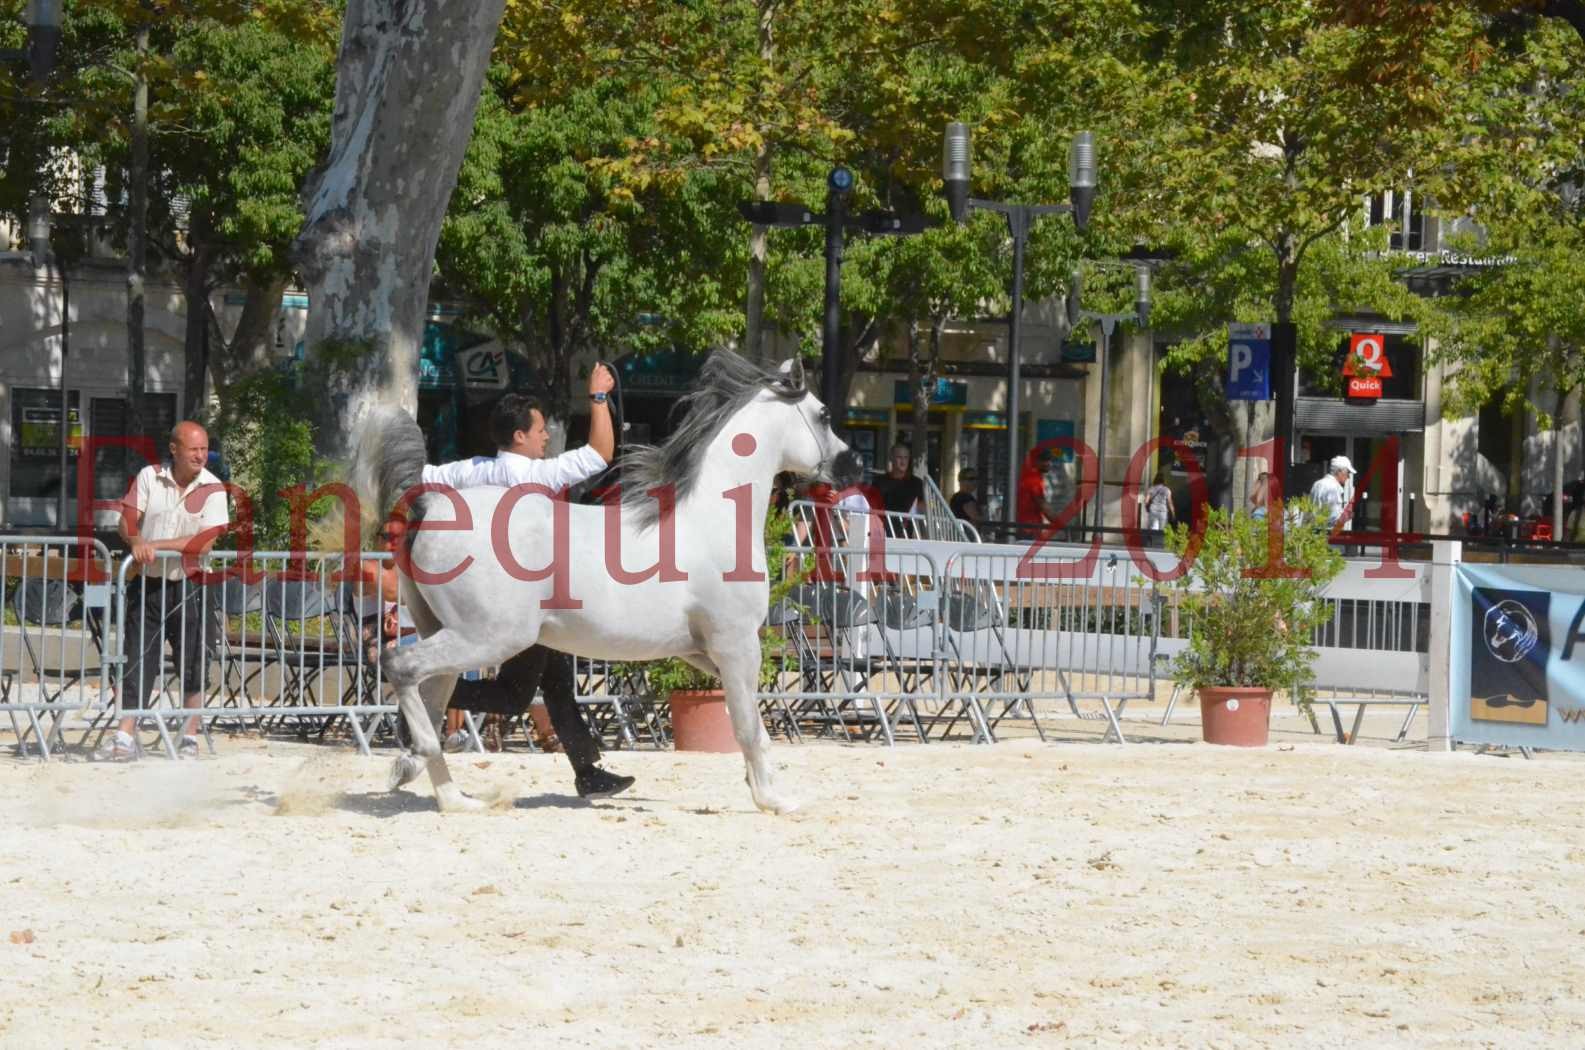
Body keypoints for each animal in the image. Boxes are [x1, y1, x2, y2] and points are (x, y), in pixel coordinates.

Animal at [353, 358, 862, 818]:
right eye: (823, 415)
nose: (853, 465)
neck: (711, 521)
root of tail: (429, 507)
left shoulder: (702, 651)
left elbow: (753, 721)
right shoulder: (736, 644)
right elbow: (748, 727)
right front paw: (775, 801)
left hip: (449, 632)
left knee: (435, 697)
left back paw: (452, 795)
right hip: (488, 636)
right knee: (400, 667)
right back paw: (413, 757)